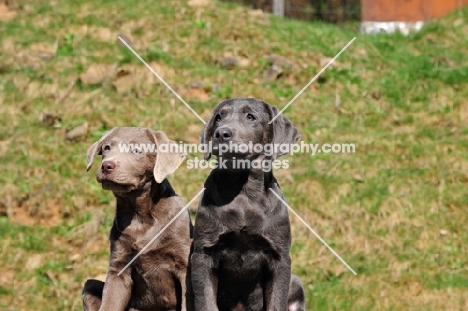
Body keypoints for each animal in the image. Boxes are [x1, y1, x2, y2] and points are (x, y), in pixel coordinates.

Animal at [82, 127, 190, 311]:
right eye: (106, 148)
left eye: (137, 150)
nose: (106, 165)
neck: (140, 215)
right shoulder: (119, 266)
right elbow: (110, 303)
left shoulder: (183, 261)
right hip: (90, 285)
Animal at [188, 98, 306, 310]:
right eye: (219, 117)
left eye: (251, 116)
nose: (221, 133)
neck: (243, 192)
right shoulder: (203, 254)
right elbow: (206, 301)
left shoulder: (280, 257)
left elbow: (277, 301)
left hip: (296, 283)